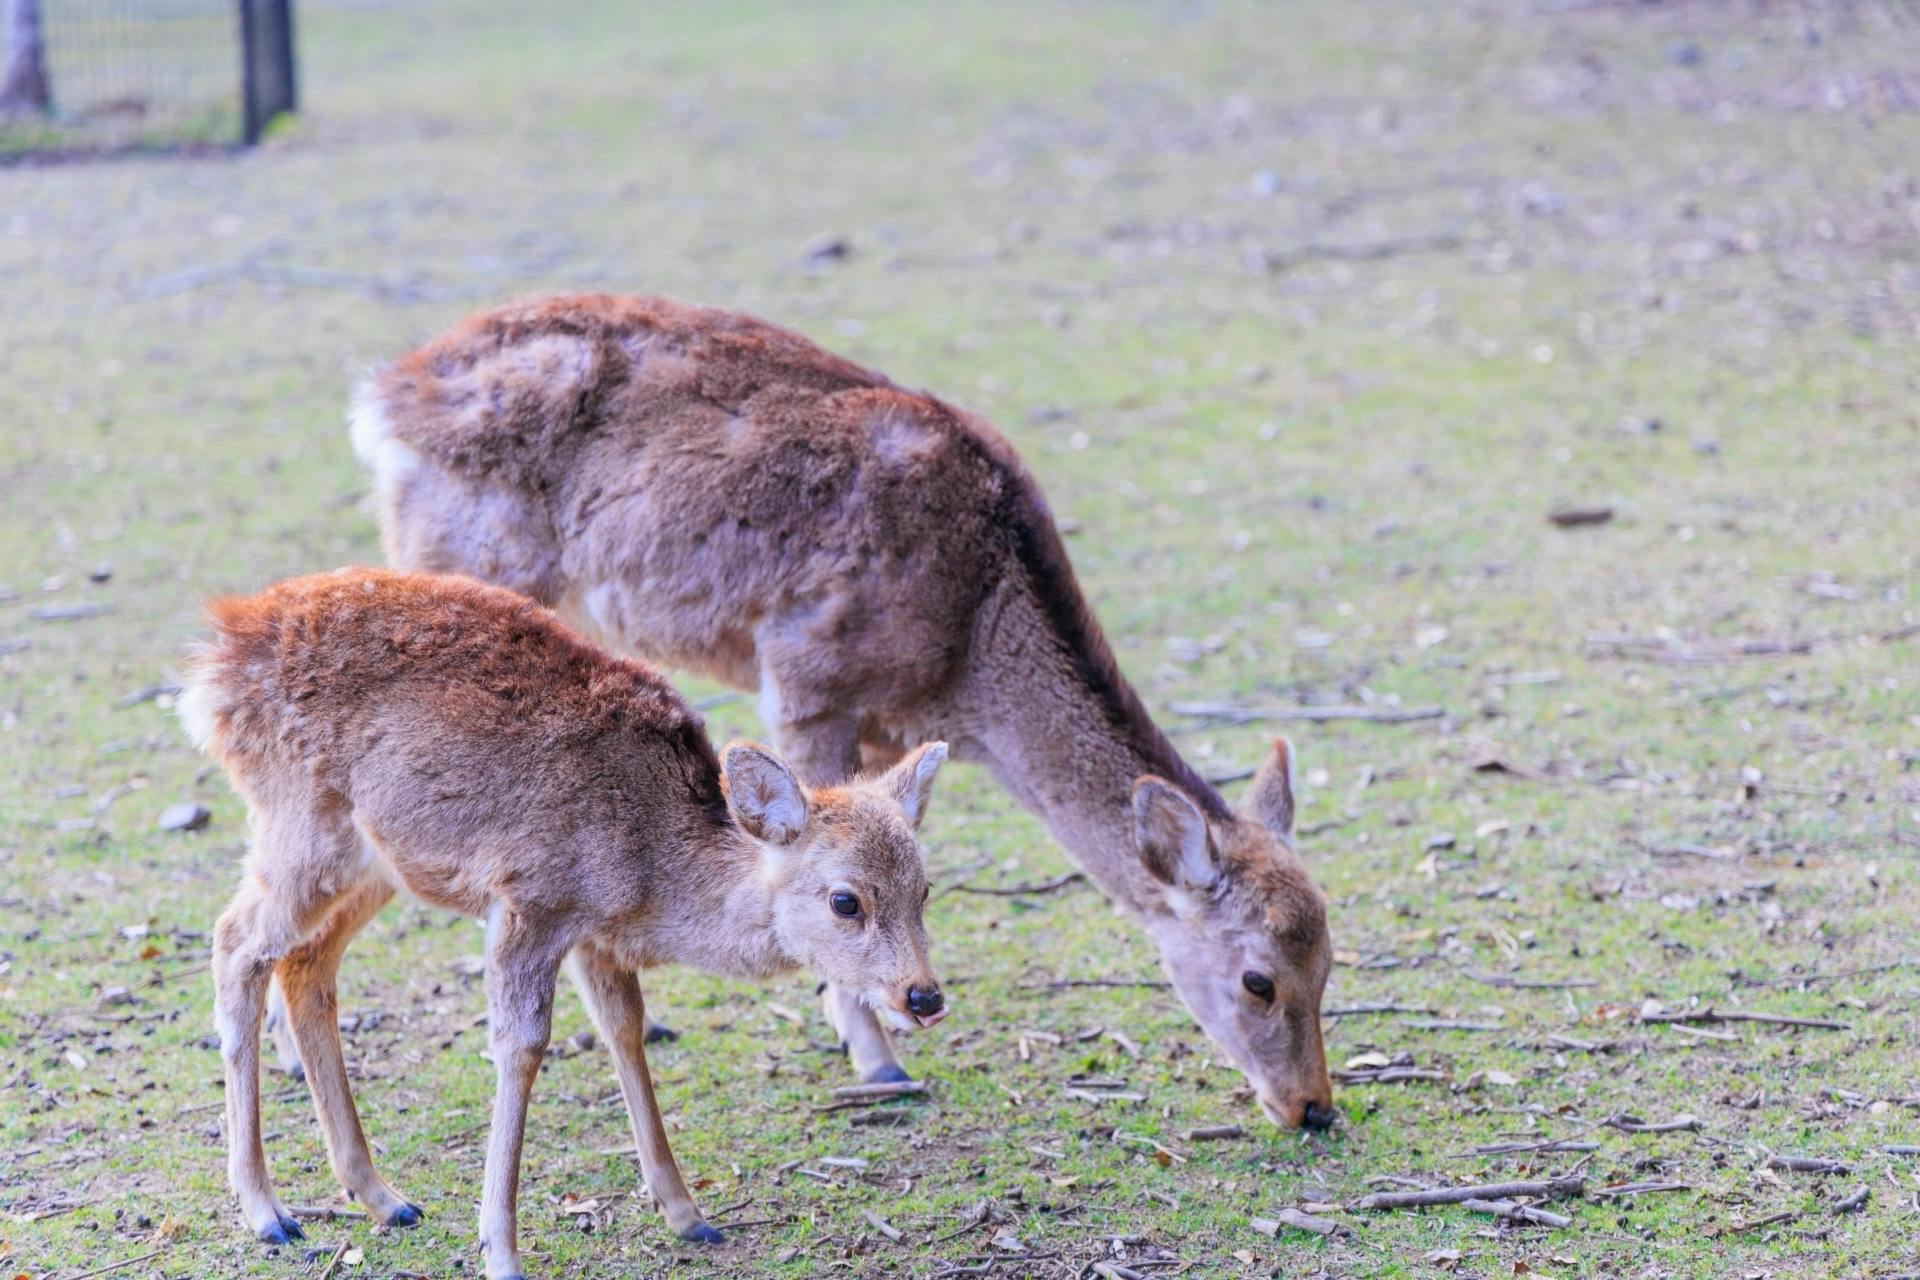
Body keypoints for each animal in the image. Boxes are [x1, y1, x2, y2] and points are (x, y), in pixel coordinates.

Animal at [183, 571, 948, 1280]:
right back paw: (268, 1212)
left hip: (376, 864)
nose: (924, 995)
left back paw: (381, 1196)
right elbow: (522, 1047)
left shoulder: (595, 934)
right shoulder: (532, 899)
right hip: (302, 823)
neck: (648, 866)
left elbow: (625, 1031)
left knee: (305, 963)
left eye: (924, 888)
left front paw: (687, 1213)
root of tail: (215, 657)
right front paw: (499, 1250)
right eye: (846, 900)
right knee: (235, 941)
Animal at [345, 293, 1336, 1128]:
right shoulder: (806, 675)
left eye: (1329, 961)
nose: (1315, 1108)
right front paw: (877, 1058)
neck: (969, 650)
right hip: (466, 558)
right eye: (1258, 980)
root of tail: (383, 396)